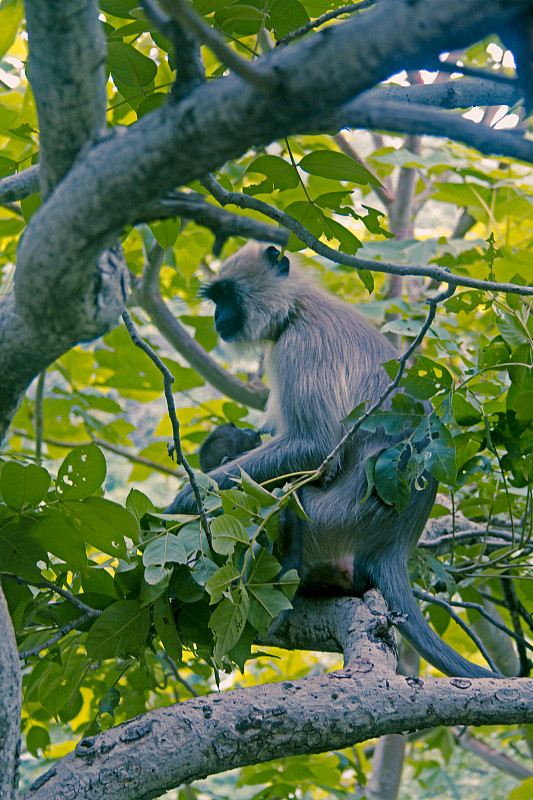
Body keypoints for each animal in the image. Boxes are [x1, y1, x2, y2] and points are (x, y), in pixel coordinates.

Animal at [165, 242, 494, 676]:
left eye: (226, 298)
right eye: (215, 301)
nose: (219, 319)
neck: (297, 307)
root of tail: (392, 546)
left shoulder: (299, 344)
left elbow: (316, 446)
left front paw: (186, 499)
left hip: (331, 522)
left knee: (290, 498)